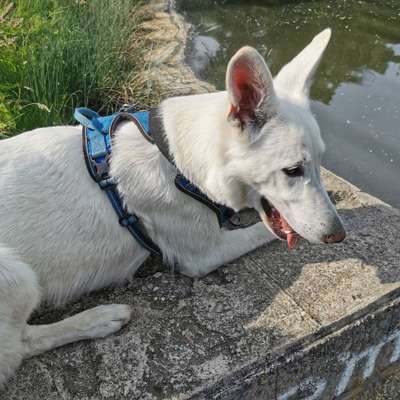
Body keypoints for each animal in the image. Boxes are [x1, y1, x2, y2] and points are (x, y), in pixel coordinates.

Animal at [0, 28, 344, 384]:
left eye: (320, 163)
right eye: (292, 170)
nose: (338, 235)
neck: (175, 159)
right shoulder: (204, 256)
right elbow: (260, 232)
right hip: (16, 273)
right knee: (20, 345)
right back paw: (98, 319)